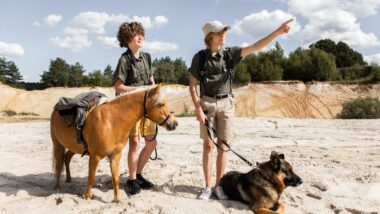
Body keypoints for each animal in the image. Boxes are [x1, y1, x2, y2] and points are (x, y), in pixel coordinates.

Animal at [50, 85, 178, 202]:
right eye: (160, 104)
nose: (175, 124)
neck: (111, 122)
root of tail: (56, 110)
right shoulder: (95, 156)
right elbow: (91, 177)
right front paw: (87, 196)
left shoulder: (115, 155)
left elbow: (115, 177)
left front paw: (117, 198)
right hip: (57, 145)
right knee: (58, 165)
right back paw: (57, 187)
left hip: (73, 147)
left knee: (66, 158)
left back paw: (69, 179)